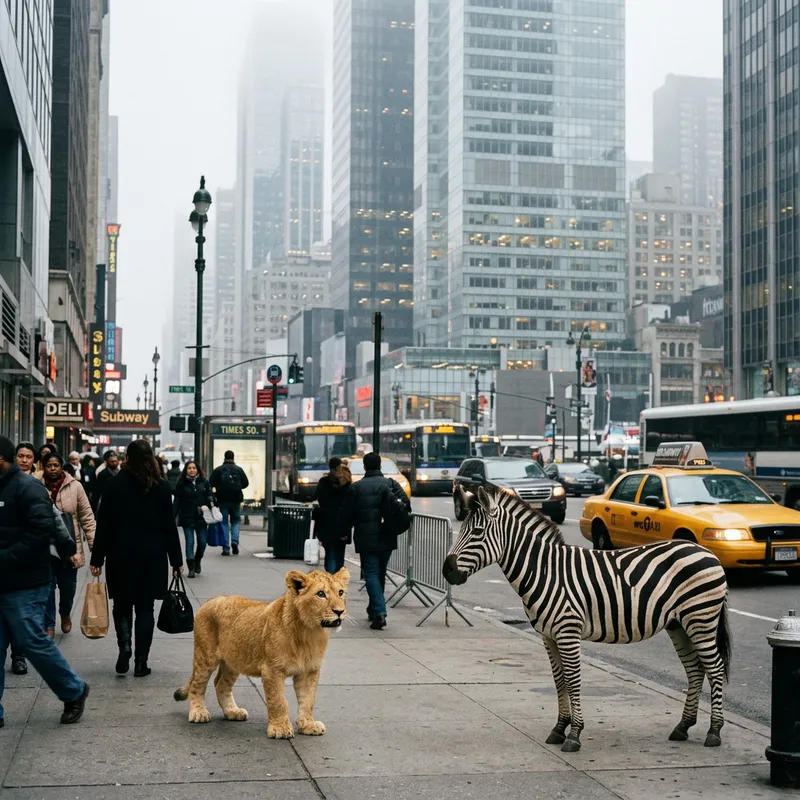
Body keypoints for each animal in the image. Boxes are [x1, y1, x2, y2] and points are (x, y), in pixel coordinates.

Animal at [174, 567, 349, 738]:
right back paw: (198, 713)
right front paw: (280, 729)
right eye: (321, 594)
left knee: (220, 683)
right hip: (205, 657)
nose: (340, 611)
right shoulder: (271, 669)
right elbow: (278, 700)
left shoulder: (309, 671)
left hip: (233, 662)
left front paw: (308, 725)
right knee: (197, 685)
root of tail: (210, 600)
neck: (309, 632)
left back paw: (232, 711)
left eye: (340, 592)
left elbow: (308, 700)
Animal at [442, 485, 731, 754]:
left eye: (477, 532)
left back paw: (714, 732)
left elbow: (573, 680)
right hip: (678, 625)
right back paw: (682, 727)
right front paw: (559, 729)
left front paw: (574, 735)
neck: (545, 571)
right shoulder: (548, 635)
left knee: (715, 668)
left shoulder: (567, 631)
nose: (447, 571)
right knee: (695, 670)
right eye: (462, 528)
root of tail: (705, 551)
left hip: (701, 619)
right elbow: (559, 681)